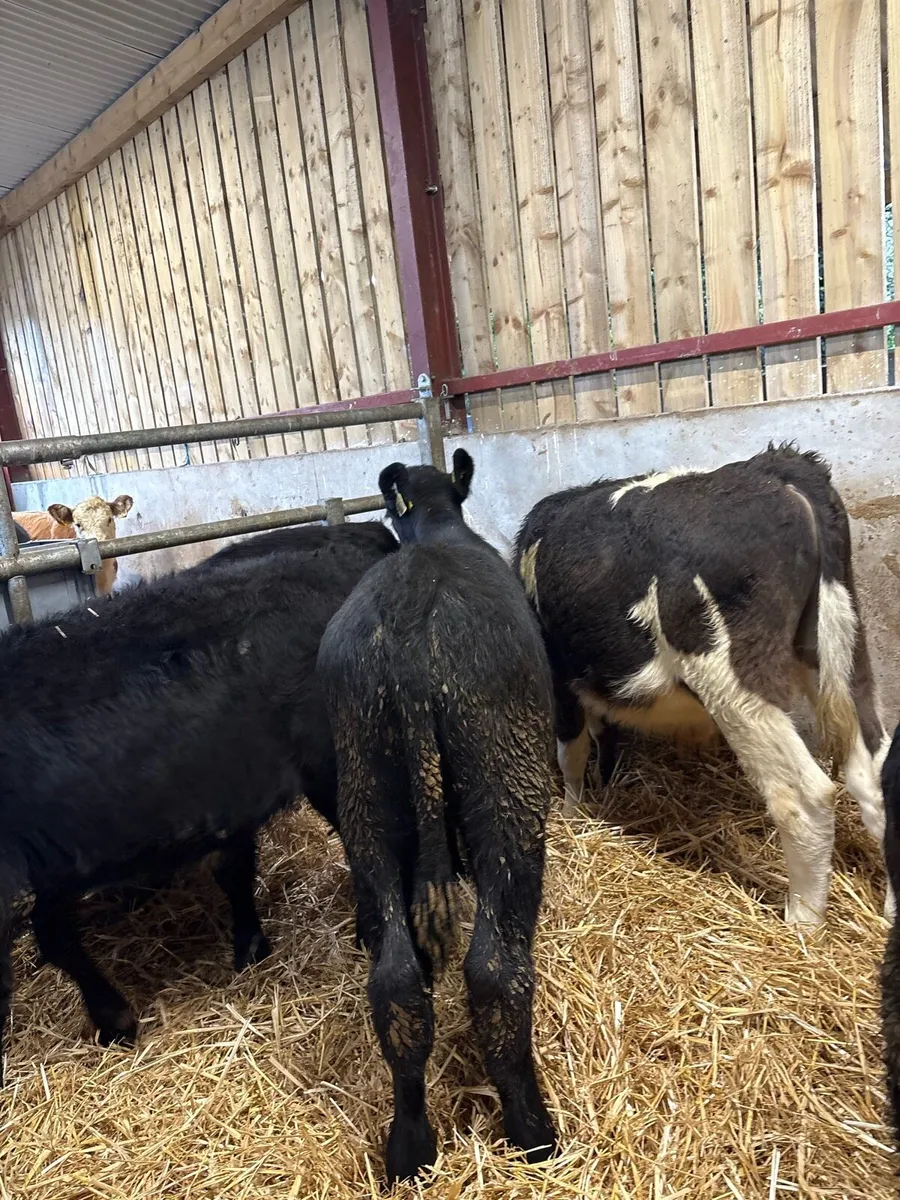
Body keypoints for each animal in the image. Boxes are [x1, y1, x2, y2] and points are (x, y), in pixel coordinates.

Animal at [317, 450, 558, 1184]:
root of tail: (408, 625)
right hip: (506, 783)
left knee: (395, 979)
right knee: (497, 969)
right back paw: (534, 1133)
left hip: (366, 787)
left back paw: (410, 1148)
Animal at [513, 445, 890, 929]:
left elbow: (571, 753)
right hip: (840, 644)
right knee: (872, 770)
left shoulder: (559, 676)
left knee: (803, 795)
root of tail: (774, 467)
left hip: (732, 676)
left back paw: (801, 923)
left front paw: (572, 814)